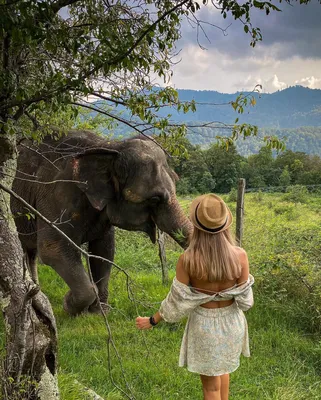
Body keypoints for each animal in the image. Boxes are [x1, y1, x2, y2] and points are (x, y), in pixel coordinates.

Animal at [11, 131, 192, 316]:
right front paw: (69, 305)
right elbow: (52, 248)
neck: (108, 147)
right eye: (155, 199)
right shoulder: (56, 196)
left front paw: (99, 312)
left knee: (30, 252)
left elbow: (105, 249)